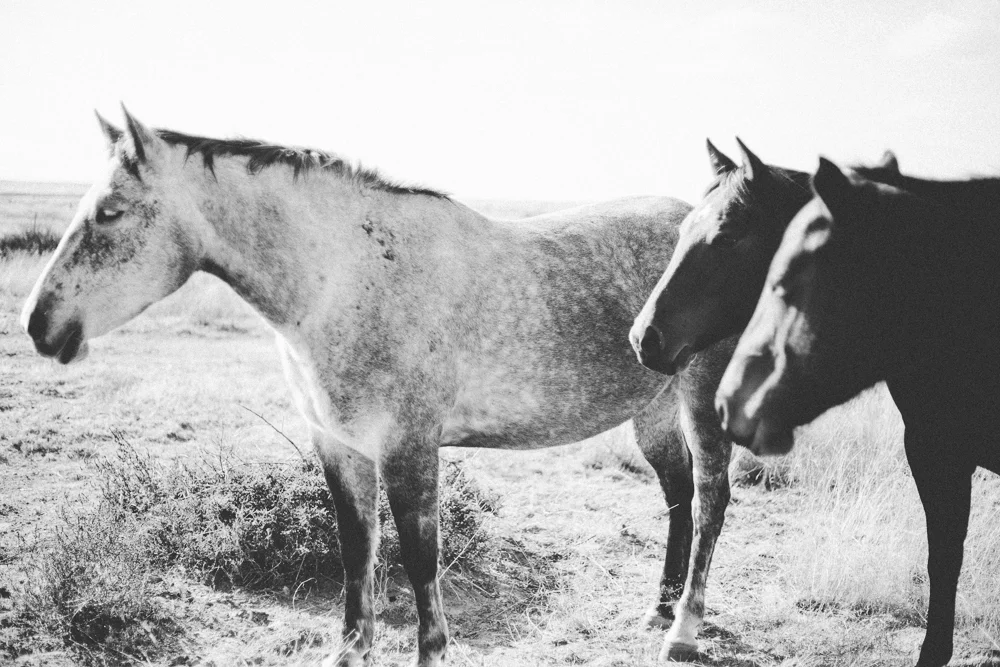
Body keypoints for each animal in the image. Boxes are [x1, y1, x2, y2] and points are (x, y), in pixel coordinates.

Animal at [21, 107, 738, 666]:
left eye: (110, 213)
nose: (37, 323)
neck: (345, 281)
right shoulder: (340, 448)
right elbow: (357, 551)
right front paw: (350, 650)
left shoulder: (408, 451)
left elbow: (419, 562)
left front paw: (431, 652)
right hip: (652, 410)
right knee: (677, 494)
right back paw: (658, 607)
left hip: (703, 404)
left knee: (708, 501)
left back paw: (683, 630)